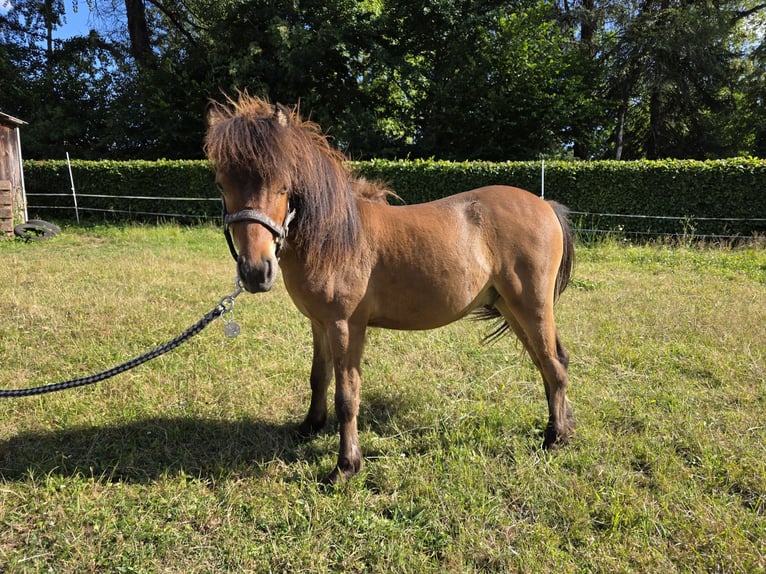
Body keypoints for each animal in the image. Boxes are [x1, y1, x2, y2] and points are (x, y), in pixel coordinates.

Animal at [204, 94, 575, 483]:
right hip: (510, 307)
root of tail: (545, 205)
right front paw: (309, 427)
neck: (337, 238)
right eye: (221, 184)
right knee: (547, 363)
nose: (255, 271)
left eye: (282, 186)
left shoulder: (345, 326)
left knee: (553, 364)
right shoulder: (319, 323)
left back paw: (554, 438)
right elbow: (319, 378)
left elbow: (346, 395)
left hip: (531, 307)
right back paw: (559, 428)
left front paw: (346, 466)